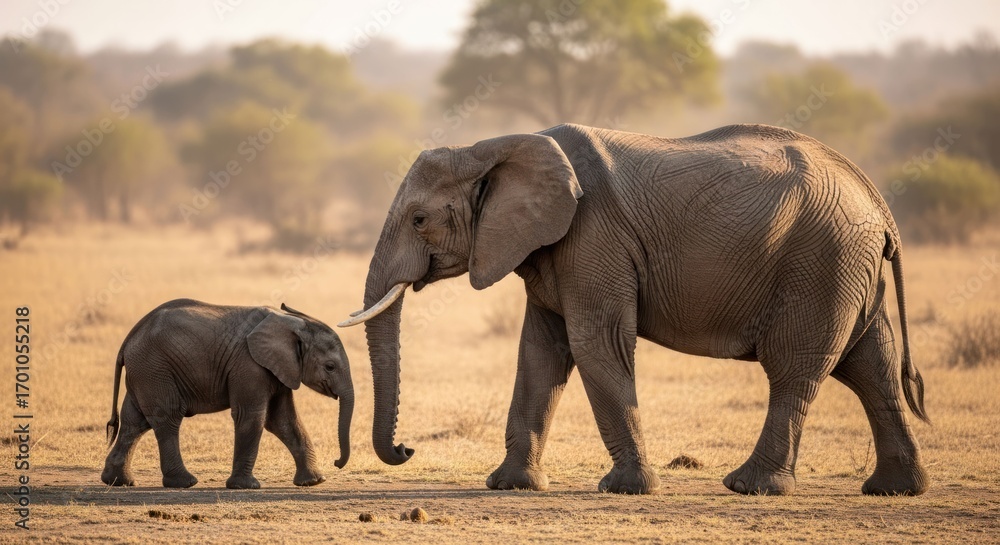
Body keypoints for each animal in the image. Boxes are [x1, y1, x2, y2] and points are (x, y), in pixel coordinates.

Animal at [101, 299, 353, 489]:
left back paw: (118, 482)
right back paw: (185, 483)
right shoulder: (249, 365)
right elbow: (252, 417)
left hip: (144, 372)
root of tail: (128, 340)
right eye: (330, 367)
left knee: (134, 422)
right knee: (168, 419)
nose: (336, 462)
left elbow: (283, 420)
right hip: (155, 369)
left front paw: (314, 482)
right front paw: (246, 486)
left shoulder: (280, 368)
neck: (290, 322)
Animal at [340, 123, 931, 497]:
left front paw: (625, 489)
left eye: (419, 220)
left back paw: (750, 487)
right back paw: (895, 491)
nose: (407, 449)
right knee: (871, 366)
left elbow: (594, 342)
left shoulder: (592, 236)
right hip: (849, 267)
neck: (493, 145)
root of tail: (879, 204)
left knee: (796, 368)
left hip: (823, 261)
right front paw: (509, 485)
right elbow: (541, 353)